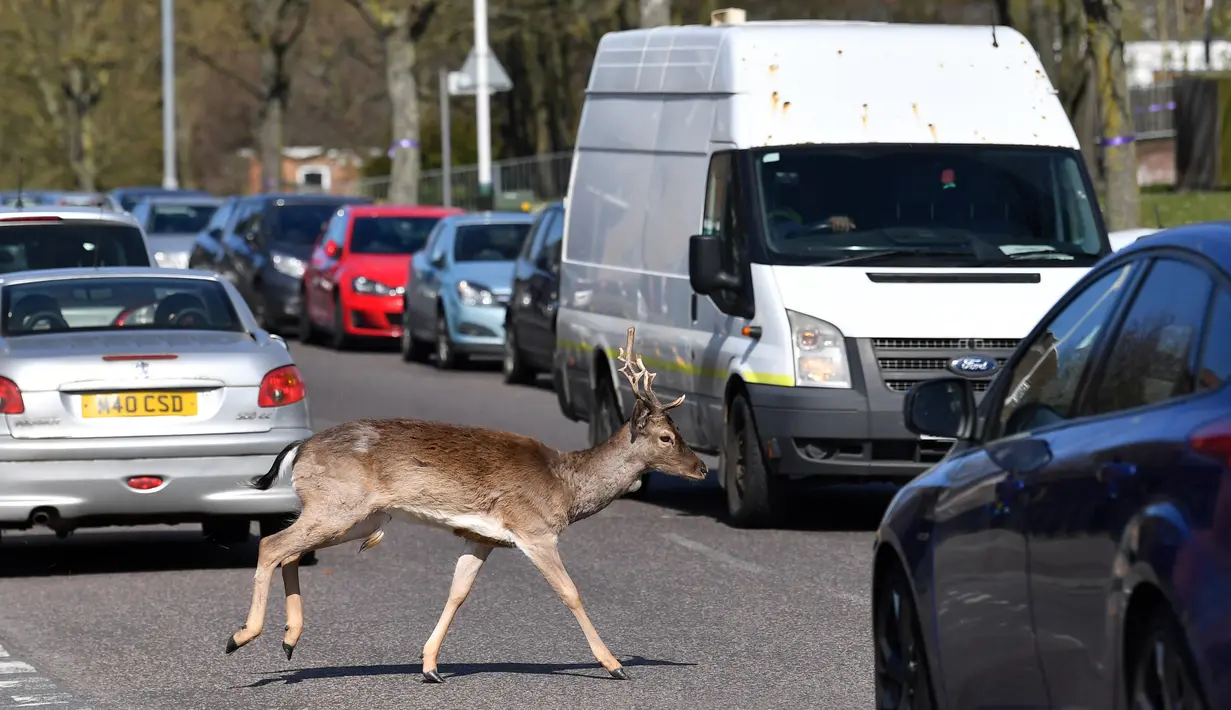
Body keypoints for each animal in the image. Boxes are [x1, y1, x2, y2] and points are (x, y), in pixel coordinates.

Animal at [221, 324, 704, 679]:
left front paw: (430, 665)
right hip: (337, 505)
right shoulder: (534, 529)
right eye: (666, 437)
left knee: (288, 552)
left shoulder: (481, 536)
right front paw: (614, 664)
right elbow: (570, 592)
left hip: (357, 517)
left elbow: (458, 592)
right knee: (271, 545)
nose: (700, 467)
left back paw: (289, 640)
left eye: (680, 431)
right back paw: (241, 636)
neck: (565, 486)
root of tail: (300, 449)